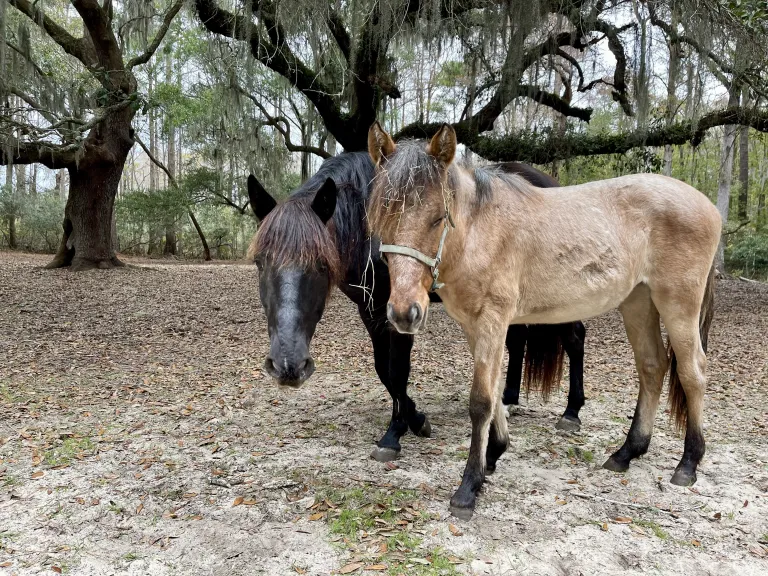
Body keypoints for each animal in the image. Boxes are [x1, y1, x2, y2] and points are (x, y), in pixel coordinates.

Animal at [245, 152, 587, 464]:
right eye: (260, 262)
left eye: (320, 264)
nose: (288, 366)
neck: (368, 226)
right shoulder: (371, 311)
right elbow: (384, 370)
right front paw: (416, 420)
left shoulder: (400, 312)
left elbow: (397, 371)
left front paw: (394, 434)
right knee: (518, 340)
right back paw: (508, 400)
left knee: (574, 338)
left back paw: (571, 412)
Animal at [366, 122, 720, 520]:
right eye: (381, 217)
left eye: (438, 217)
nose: (403, 312)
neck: (479, 230)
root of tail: (707, 206)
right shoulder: (475, 327)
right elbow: (493, 392)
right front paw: (494, 454)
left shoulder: (492, 321)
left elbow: (480, 401)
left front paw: (469, 487)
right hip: (638, 303)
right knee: (652, 366)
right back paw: (627, 452)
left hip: (677, 305)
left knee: (692, 373)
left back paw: (688, 463)